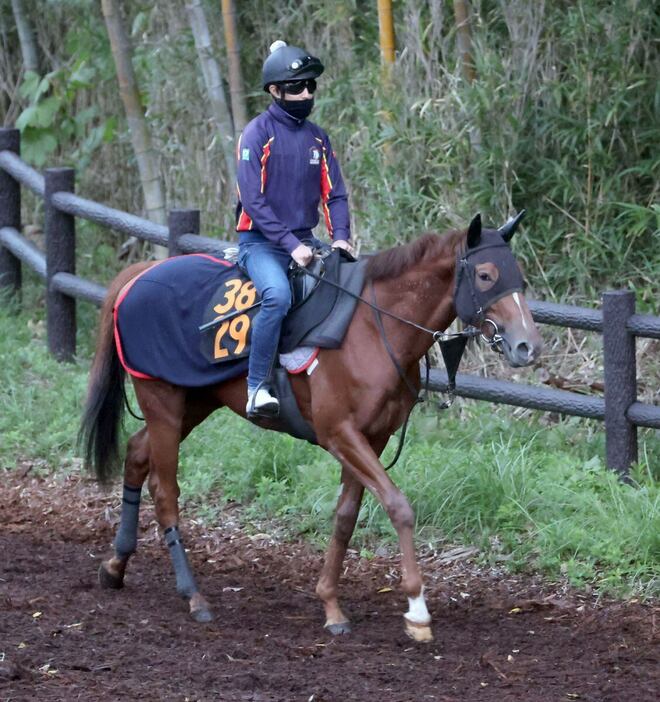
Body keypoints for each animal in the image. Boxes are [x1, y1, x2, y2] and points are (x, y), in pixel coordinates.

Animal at [78, 213, 540, 644]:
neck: (372, 327)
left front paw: (331, 604)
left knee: (137, 454)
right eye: (486, 275)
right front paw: (416, 610)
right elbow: (398, 506)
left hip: (194, 401)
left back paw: (115, 566)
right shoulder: (341, 434)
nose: (527, 346)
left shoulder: (373, 437)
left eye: (519, 275)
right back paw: (193, 596)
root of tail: (140, 274)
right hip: (164, 402)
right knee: (166, 491)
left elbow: (346, 516)